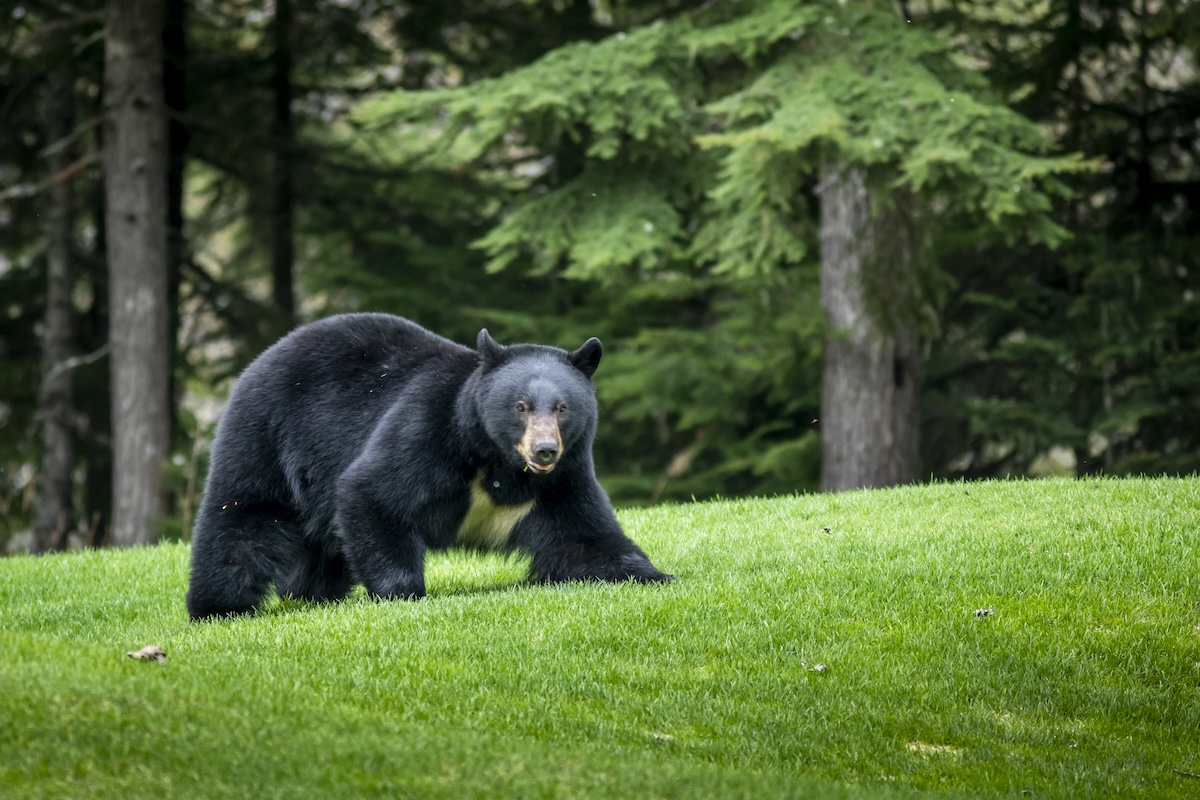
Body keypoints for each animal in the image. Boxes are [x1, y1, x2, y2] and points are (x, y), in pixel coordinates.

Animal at [185, 312, 672, 620]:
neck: (499, 463)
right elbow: (372, 492)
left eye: (562, 408)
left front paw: (655, 575)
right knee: (242, 518)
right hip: (267, 434)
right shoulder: (428, 430)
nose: (544, 450)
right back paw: (218, 607)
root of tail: (263, 356)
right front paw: (402, 593)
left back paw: (310, 595)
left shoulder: (563, 480)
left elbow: (585, 537)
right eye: (520, 406)